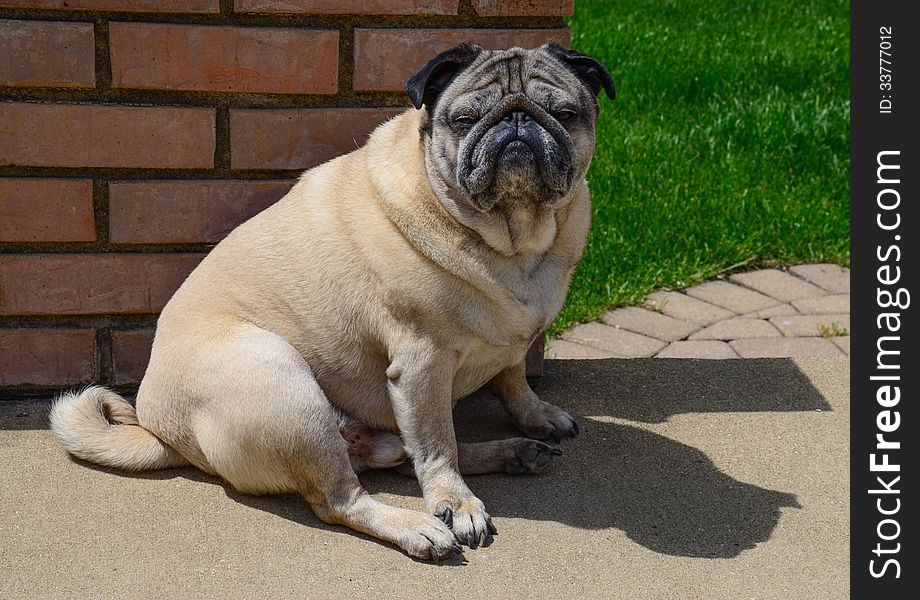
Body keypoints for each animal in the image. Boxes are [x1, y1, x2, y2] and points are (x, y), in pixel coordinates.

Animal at [48, 43, 612, 564]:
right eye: (466, 119)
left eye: (565, 114)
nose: (516, 122)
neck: (514, 241)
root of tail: (160, 429)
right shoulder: (422, 364)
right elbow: (438, 445)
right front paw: (457, 505)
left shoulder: (512, 338)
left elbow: (512, 378)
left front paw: (535, 417)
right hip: (286, 389)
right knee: (346, 497)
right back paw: (420, 526)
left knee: (404, 454)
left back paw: (514, 452)